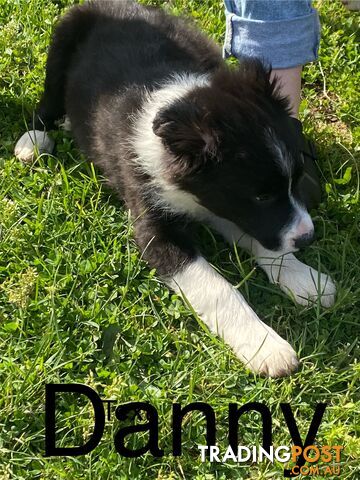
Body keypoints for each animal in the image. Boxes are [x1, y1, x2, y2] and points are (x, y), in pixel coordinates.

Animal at [13, 0, 334, 376]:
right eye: (261, 195)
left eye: (296, 180)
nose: (308, 238)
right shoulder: (155, 228)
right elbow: (216, 287)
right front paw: (265, 347)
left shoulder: (223, 205)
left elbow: (260, 237)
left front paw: (306, 280)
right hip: (62, 40)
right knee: (48, 100)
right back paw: (35, 139)